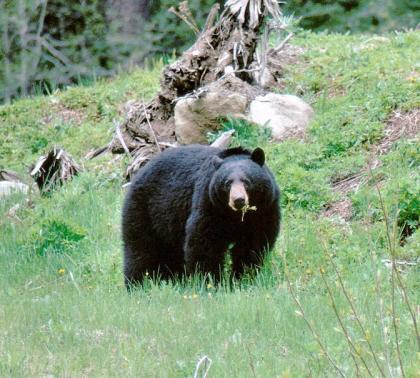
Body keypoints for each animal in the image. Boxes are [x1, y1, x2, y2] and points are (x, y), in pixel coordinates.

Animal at [120, 145, 278, 286]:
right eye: (227, 183)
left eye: (246, 181)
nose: (238, 200)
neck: (235, 215)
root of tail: (138, 173)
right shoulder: (208, 203)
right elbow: (204, 242)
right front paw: (210, 280)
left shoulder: (265, 209)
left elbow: (253, 244)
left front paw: (243, 278)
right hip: (144, 209)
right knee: (140, 249)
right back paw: (138, 284)